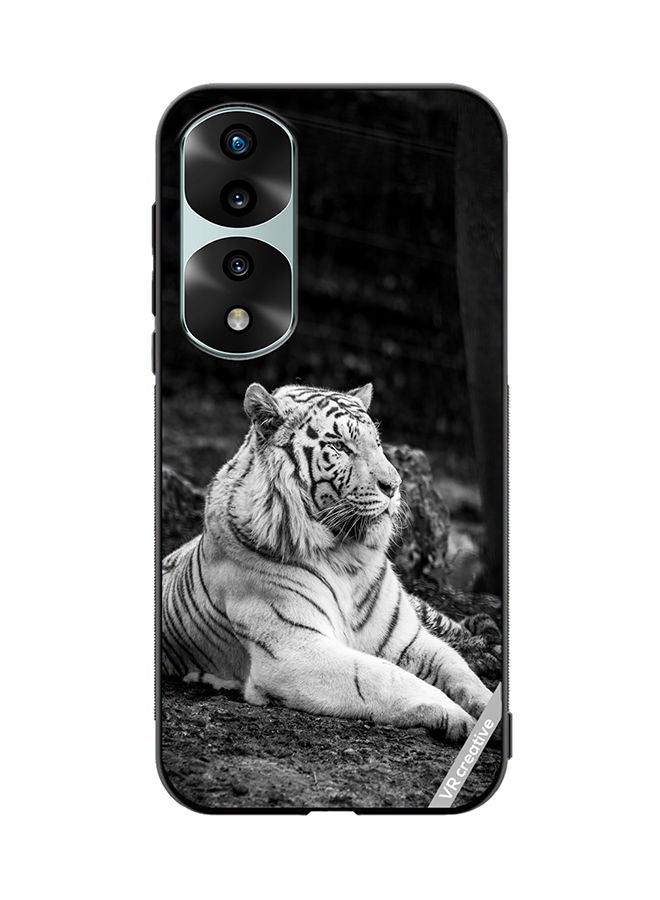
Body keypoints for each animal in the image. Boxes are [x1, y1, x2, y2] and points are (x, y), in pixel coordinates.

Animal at [161, 382, 492, 744]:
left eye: (377, 444)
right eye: (340, 446)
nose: (394, 486)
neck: (347, 558)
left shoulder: (406, 638)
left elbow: (458, 669)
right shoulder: (295, 650)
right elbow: (383, 675)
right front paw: (458, 717)